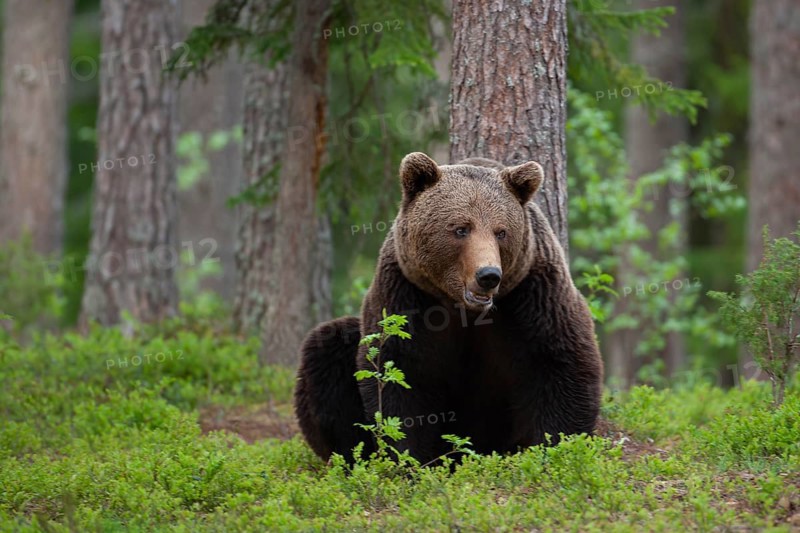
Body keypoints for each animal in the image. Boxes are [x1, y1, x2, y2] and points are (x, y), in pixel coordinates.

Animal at [294, 152, 603, 465]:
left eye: (501, 232)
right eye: (460, 229)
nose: (488, 275)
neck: (464, 309)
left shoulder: (533, 293)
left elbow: (559, 363)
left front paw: (553, 450)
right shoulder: (406, 294)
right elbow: (400, 374)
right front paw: (410, 459)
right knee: (327, 348)